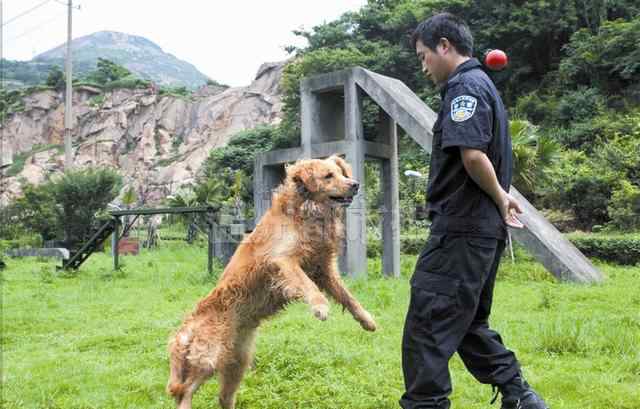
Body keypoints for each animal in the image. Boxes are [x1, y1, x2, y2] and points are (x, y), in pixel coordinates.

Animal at [166, 154, 376, 408]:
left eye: (342, 173)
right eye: (328, 176)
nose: (355, 184)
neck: (304, 212)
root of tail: (185, 329)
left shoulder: (324, 270)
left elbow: (348, 297)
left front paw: (367, 320)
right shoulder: (282, 260)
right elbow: (307, 285)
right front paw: (320, 307)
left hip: (237, 362)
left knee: (222, 396)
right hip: (209, 354)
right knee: (184, 390)